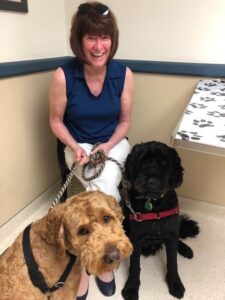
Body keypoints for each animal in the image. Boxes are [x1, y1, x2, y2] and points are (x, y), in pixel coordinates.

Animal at [120, 141, 200, 300]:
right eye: (143, 162)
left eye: (164, 163)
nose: (152, 182)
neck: (154, 204)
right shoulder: (136, 238)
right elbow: (134, 266)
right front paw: (131, 287)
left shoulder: (171, 233)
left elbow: (173, 263)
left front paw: (175, 283)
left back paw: (185, 248)